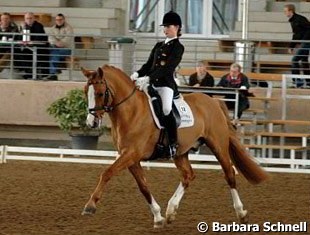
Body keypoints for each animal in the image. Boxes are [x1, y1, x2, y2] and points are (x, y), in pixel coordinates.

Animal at [81, 65, 268, 229]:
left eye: (99, 93)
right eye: (85, 92)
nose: (91, 123)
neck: (132, 111)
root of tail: (213, 101)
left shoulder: (131, 154)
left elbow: (107, 173)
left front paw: (90, 206)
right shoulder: (130, 158)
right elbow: (143, 186)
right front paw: (158, 217)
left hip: (218, 146)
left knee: (229, 174)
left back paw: (241, 213)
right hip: (180, 152)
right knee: (188, 175)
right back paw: (171, 211)